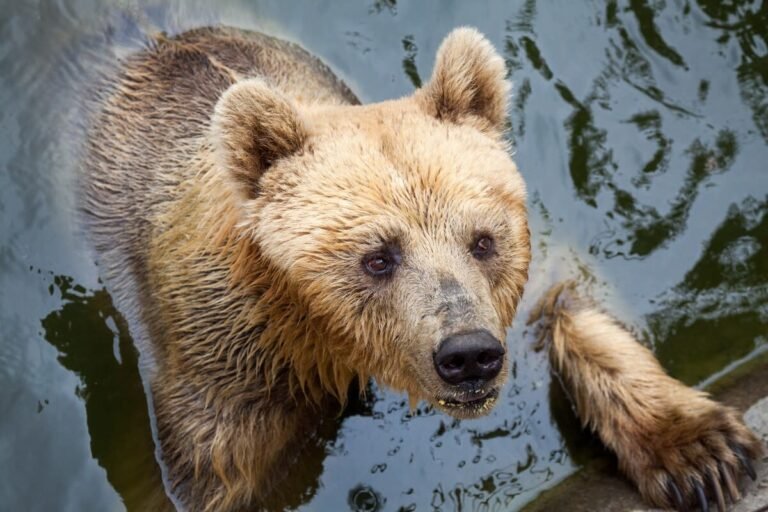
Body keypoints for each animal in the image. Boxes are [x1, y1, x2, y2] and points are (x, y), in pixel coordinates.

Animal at [81, 26, 762, 512]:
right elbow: (213, 468)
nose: (469, 354)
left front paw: (702, 453)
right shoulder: (231, 358)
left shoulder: (512, 280)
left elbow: (569, 300)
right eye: (377, 256)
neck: (322, 336)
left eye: (482, 240)